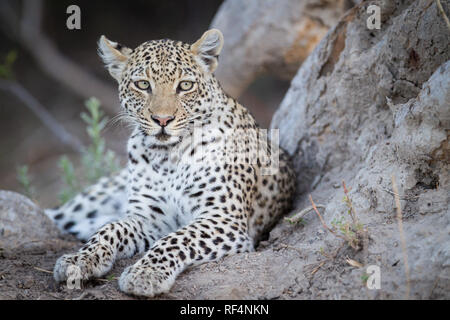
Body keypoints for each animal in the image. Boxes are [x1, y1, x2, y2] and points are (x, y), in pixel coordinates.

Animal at [45, 30, 298, 298]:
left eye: (185, 85)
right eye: (143, 84)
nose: (163, 120)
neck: (168, 156)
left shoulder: (222, 219)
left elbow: (178, 238)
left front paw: (145, 273)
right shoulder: (149, 217)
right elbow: (111, 228)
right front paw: (79, 260)